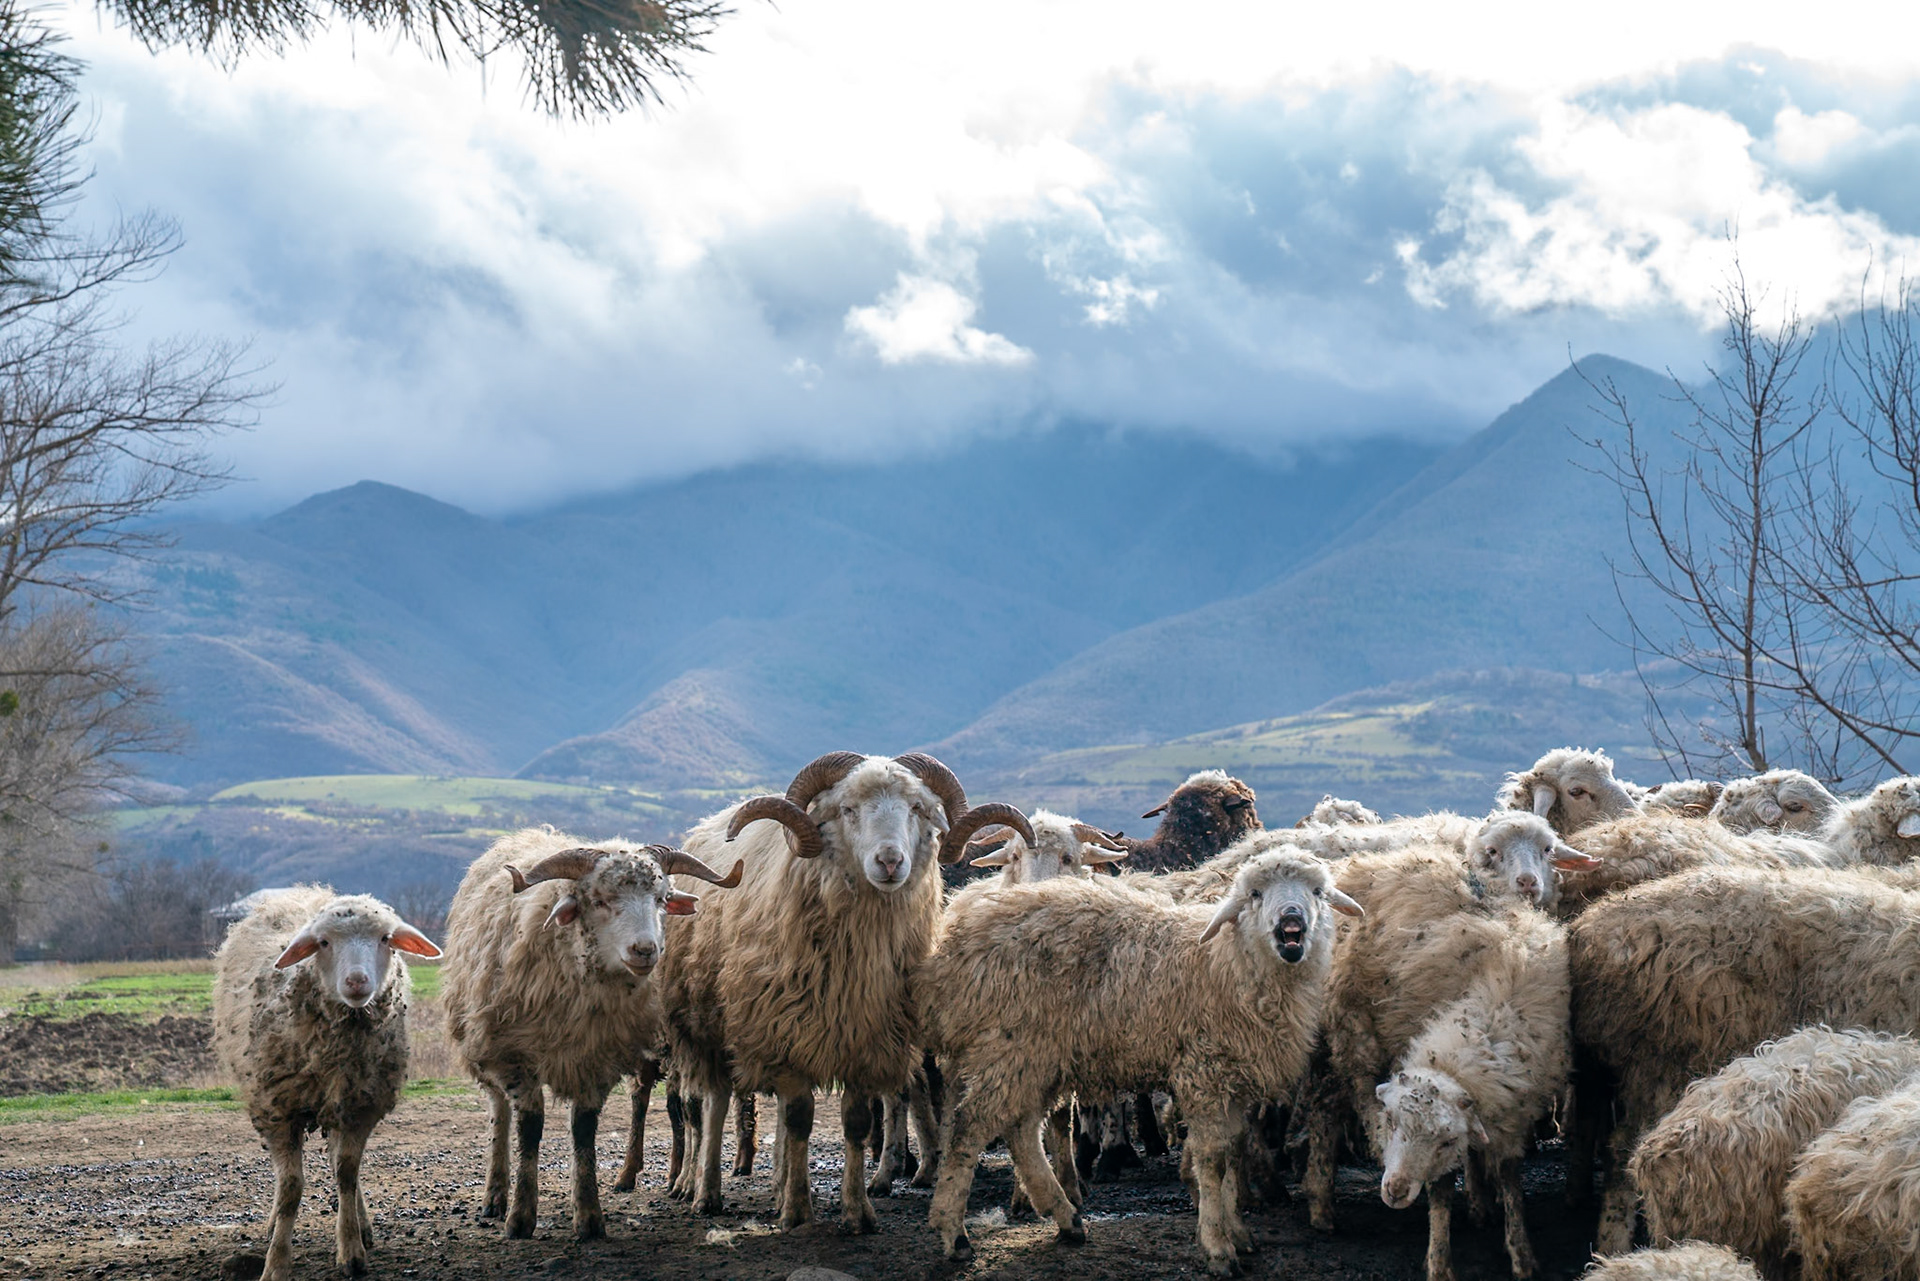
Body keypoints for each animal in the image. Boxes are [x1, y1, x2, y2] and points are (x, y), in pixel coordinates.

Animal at [212, 886, 441, 1281]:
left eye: (385, 938)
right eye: (323, 942)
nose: (357, 982)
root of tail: (303, 892)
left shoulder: (359, 1106)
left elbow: (347, 1173)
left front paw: (351, 1250)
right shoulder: (279, 1110)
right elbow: (290, 1188)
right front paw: (276, 1262)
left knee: (340, 1164)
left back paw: (363, 1227)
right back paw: (274, 1224)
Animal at [441, 829, 742, 1240]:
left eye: (662, 899)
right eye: (599, 900)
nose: (645, 950)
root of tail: (529, 833)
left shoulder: (595, 1057)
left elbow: (584, 1131)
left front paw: (588, 1217)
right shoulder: (517, 1056)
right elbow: (529, 1130)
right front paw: (520, 1217)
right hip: (487, 1042)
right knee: (499, 1113)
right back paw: (495, 1196)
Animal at [659, 750, 1032, 1232]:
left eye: (917, 809)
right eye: (848, 810)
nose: (890, 862)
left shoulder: (866, 1038)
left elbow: (854, 1124)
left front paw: (856, 1211)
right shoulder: (785, 1034)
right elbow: (798, 1119)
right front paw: (798, 1210)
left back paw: (776, 1185)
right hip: (706, 1024)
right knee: (716, 1105)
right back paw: (705, 1192)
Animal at [922, 849, 1360, 1277]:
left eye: (1318, 892)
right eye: (1255, 893)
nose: (1291, 918)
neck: (1227, 962)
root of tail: (959, 930)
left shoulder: (1233, 1080)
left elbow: (1235, 1152)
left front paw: (1238, 1232)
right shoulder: (1203, 1071)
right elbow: (1213, 1160)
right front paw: (1218, 1248)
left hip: (1037, 1054)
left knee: (1022, 1130)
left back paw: (1066, 1218)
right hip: (1007, 1044)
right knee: (970, 1127)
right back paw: (954, 1232)